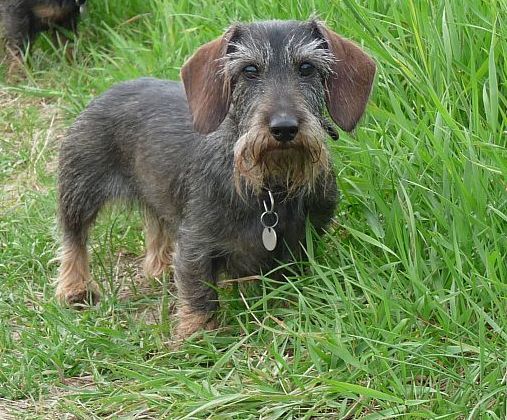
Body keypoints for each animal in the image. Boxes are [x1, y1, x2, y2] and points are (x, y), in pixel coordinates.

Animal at [56, 20, 378, 342]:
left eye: (307, 67)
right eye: (249, 70)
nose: (284, 128)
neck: (270, 187)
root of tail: (113, 88)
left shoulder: (303, 240)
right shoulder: (196, 244)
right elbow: (199, 293)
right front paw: (197, 337)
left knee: (156, 224)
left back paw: (159, 268)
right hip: (79, 189)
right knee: (73, 238)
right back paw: (75, 287)